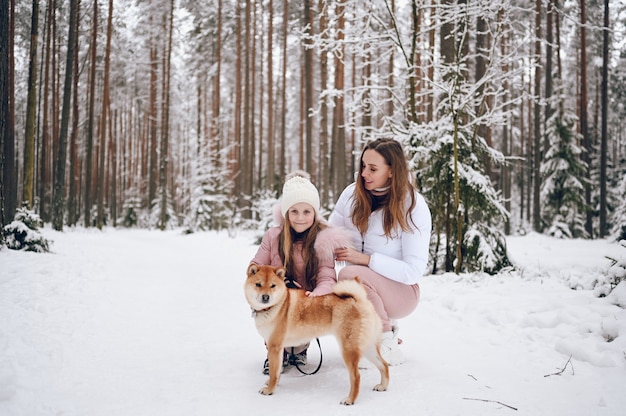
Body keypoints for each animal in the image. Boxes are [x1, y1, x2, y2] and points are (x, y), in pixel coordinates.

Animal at [243, 264, 386, 404]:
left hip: (349, 349)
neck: (277, 305)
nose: (265, 297)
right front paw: (273, 384)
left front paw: (269, 390)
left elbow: (273, 372)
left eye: (273, 286)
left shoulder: (274, 346)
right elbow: (277, 371)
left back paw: (350, 399)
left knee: (356, 376)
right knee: (383, 365)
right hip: (368, 347)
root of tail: (360, 300)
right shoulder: (278, 348)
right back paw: (383, 386)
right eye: (258, 284)